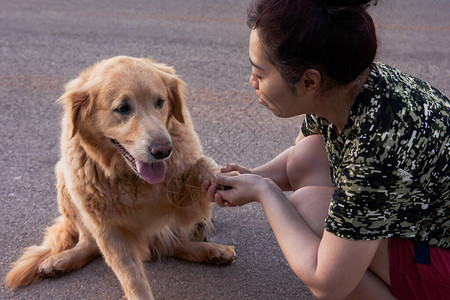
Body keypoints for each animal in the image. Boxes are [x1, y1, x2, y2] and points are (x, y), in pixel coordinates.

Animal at [5, 55, 236, 298]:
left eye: (160, 102)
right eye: (123, 108)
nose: (164, 150)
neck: (130, 176)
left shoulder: (181, 202)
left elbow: (201, 163)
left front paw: (219, 176)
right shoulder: (108, 228)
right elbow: (132, 278)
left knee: (174, 244)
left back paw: (213, 251)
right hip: (65, 183)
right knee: (88, 243)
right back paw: (59, 261)